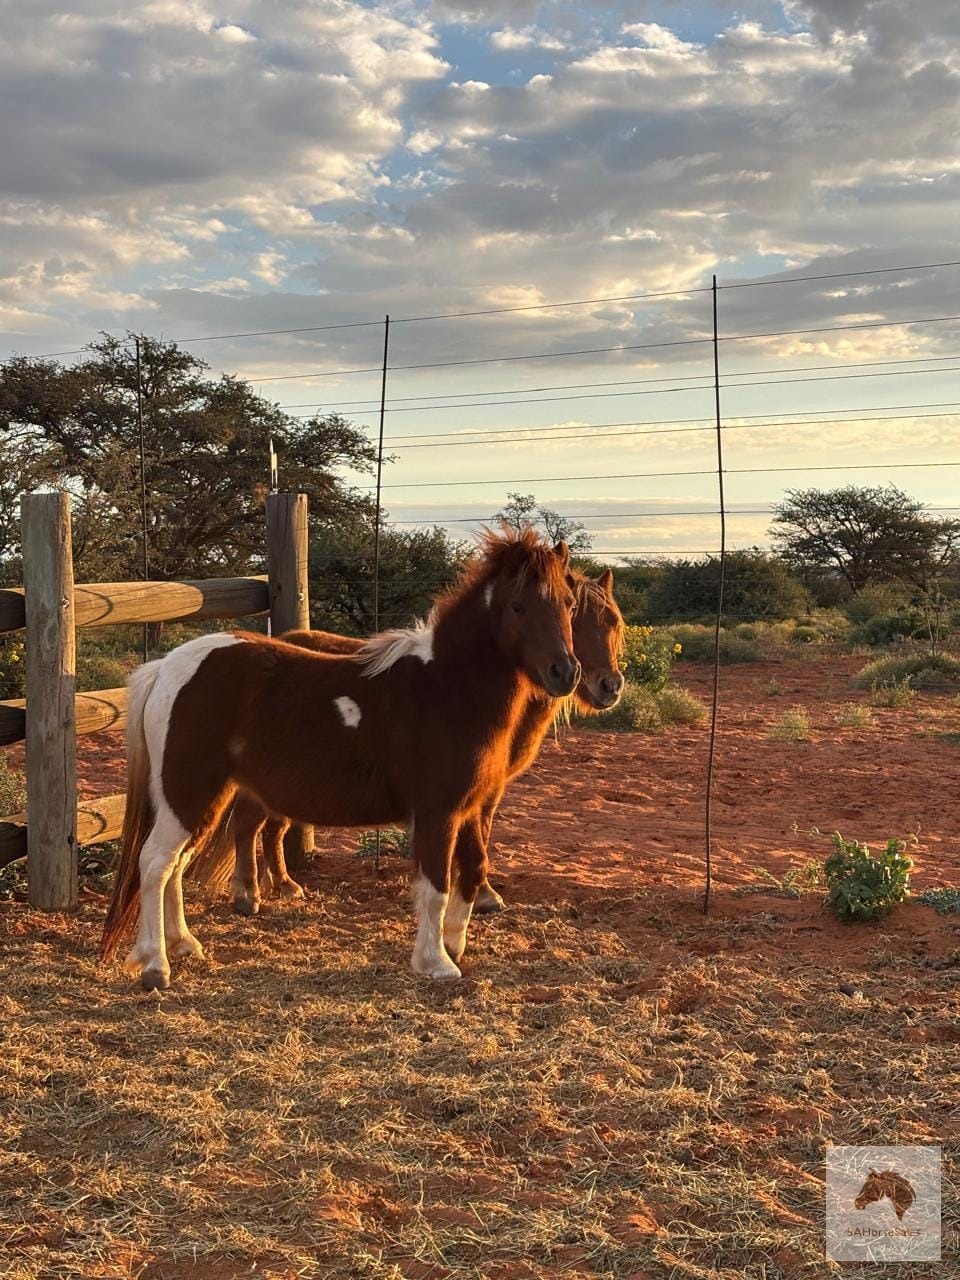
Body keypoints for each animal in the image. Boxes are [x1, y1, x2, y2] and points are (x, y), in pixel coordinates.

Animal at [101, 530, 580, 990]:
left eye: (569, 603)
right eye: (518, 605)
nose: (566, 673)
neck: (447, 689)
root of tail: (165, 667)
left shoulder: (469, 809)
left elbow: (473, 872)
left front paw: (453, 946)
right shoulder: (437, 813)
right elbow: (436, 885)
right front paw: (436, 963)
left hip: (207, 799)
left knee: (175, 866)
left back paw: (184, 944)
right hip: (187, 794)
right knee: (155, 863)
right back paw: (156, 966)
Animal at [197, 569, 624, 918]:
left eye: (613, 623)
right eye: (573, 619)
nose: (609, 685)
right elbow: (477, 835)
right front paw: (481, 895)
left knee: (269, 826)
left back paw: (282, 885)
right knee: (250, 824)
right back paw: (253, 894)